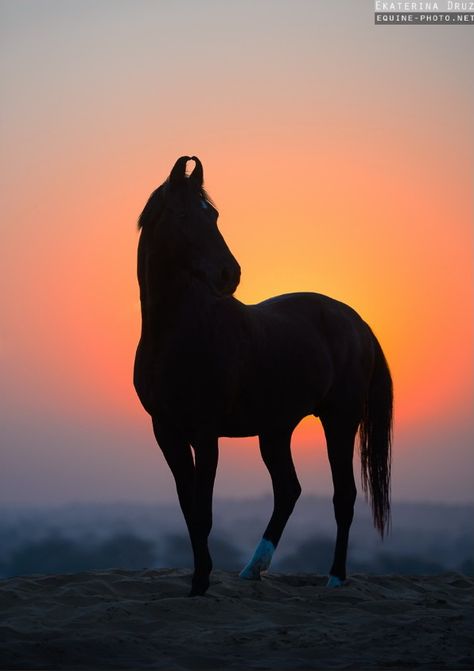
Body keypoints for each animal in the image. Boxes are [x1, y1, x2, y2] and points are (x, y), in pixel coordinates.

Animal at [133, 159, 392, 600]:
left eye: (213, 215)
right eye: (183, 215)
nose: (229, 274)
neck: (175, 333)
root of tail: (356, 321)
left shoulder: (205, 432)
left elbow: (202, 512)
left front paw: (201, 584)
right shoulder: (166, 431)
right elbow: (188, 507)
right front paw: (198, 580)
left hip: (339, 421)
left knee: (343, 496)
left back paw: (335, 577)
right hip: (276, 431)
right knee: (288, 490)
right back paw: (253, 568)